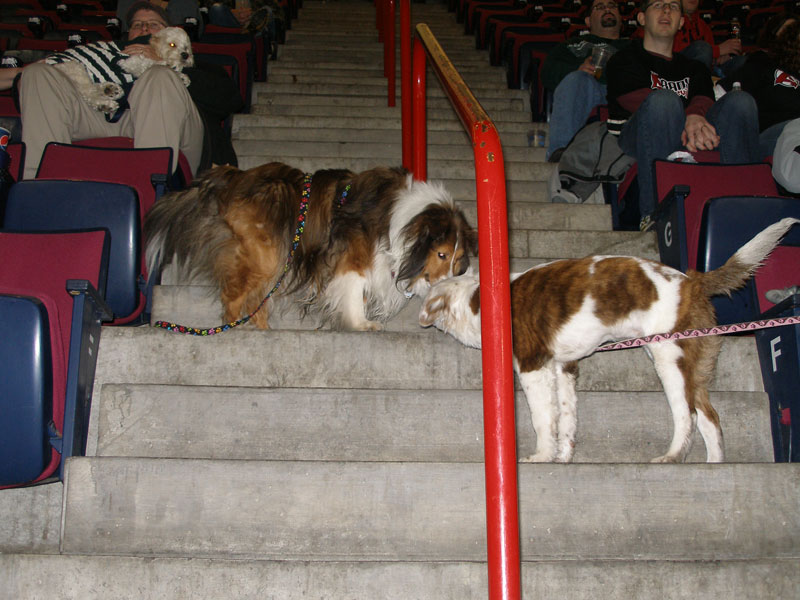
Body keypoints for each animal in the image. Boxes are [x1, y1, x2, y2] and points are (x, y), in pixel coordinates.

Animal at [49, 27, 193, 115]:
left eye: (186, 47)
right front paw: (171, 67)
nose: (186, 55)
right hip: (75, 67)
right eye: (172, 44)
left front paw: (182, 77)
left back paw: (109, 89)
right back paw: (105, 104)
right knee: (87, 92)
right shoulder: (127, 62)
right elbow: (151, 64)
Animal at [144, 162, 477, 331]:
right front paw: (361, 323)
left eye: (458, 259)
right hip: (263, 255)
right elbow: (354, 291)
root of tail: (231, 175)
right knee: (234, 296)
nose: (448, 286)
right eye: (441, 254)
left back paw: (262, 330)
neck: (403, 220)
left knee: (255, 299)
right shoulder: (353, 259)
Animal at [419, 218, 799, 464]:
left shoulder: (532, 365)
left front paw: (542, 456)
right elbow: (567, 417)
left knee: (687, 416)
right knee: (710, 417)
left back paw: (672, 456)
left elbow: (543, 418)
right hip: (695, 359)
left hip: (668, 355)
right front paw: (564, 456)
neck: (480, 300)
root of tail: (693, 281)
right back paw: (715, 465)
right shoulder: (565, 368)